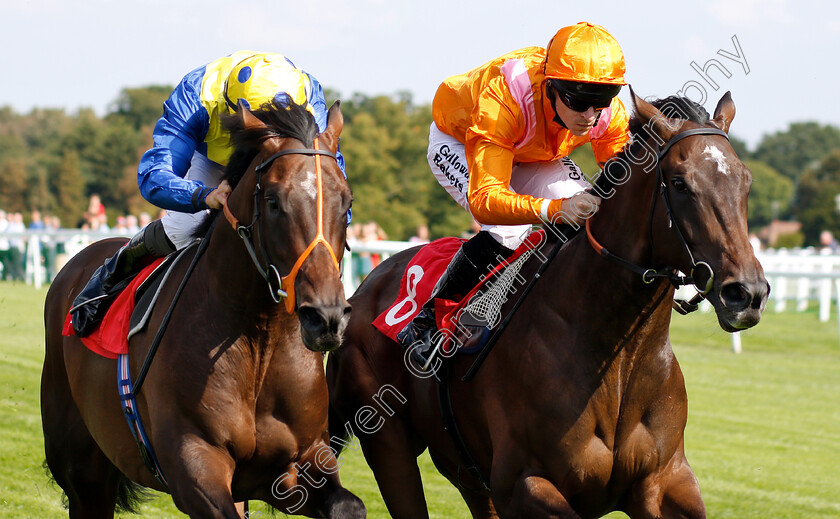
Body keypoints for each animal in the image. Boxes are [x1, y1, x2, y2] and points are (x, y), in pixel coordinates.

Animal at [41, 99, 364, 516]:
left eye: (347, 202)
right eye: (273, 201)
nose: (326, 317)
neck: (260, 341)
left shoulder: (300, 462)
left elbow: (348, 505)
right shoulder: (193, 461)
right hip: (82, 469)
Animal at [326, 94, 768, 519]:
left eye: (746, 181)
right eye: (679, 183)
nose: (746, 292)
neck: (619, 356)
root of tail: (364, 288)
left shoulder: (666, 480)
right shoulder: (524, 484)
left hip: (463, 468)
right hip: (390, 447)